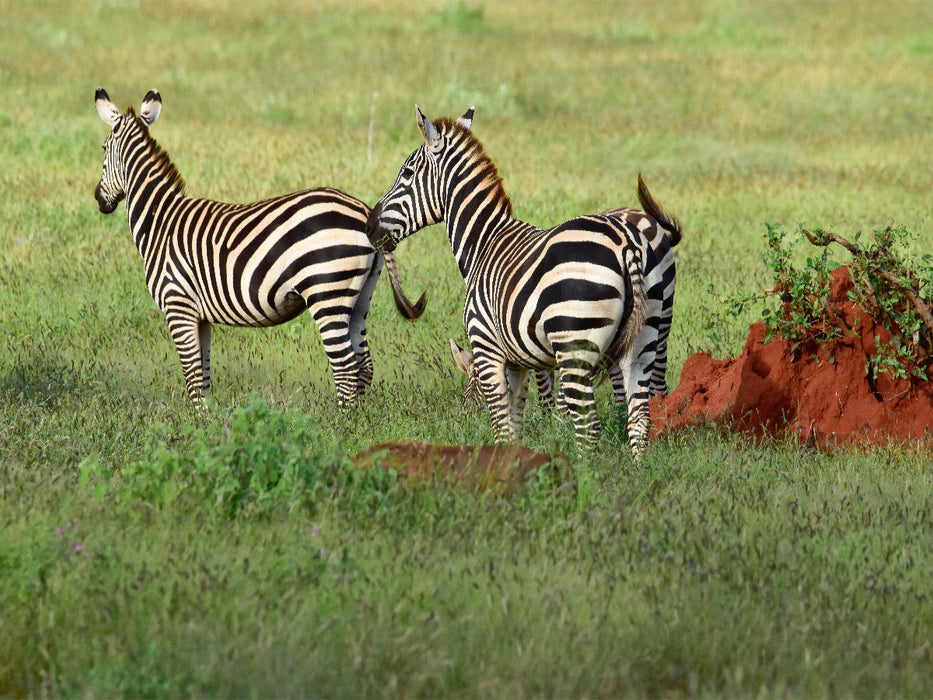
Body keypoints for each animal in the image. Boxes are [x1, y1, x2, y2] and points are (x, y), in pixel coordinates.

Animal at [93, 88, 425, 407]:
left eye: (103, 150)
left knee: (345, 367)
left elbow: (192, 377)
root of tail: (364, 210)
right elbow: (204, 375)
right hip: (359, 297)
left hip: (327, 292)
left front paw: (196, 421)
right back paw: (359, 420)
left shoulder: (178, 305)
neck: (160, 218)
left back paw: (341, 423)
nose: (98, 199)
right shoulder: (200, 316)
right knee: (364, 364)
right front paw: (208, 421)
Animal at [367, 106, 683, 457]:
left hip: (576, 345)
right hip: (647, 335)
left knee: (589, 426)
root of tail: (627, 241)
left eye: (407, 173)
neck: (484, 243)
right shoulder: (517, 362)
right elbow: (515, 425)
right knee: (641, 416)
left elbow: (501, 426)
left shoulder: (487, 348)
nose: (369, 225)